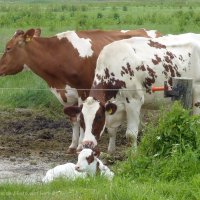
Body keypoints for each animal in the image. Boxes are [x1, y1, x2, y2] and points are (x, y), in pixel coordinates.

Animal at [0, 27, 161, 153]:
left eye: (8, 48)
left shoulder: (83, 91)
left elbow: (81, 117)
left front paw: (80, 145)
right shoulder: (67, 94)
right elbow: (74, 119)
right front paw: (72, 145)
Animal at [64, 33, 200, 154]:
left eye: (98, 117)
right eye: (81, 119)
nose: (87, 144)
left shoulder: (134, 101)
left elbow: (131, 134)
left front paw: (134, 154)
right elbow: (111, 130)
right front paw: (110, 151)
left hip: (197, 91)